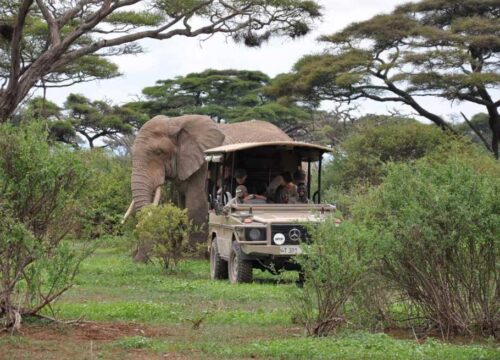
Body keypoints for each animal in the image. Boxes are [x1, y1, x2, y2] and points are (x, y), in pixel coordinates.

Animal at [125, 114, 292, 258]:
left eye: (159, 152)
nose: (136, 258)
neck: (176, 122)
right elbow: (181, 207)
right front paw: (179, 253)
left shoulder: (204, 166)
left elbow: (196, 206)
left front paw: (194, 256)